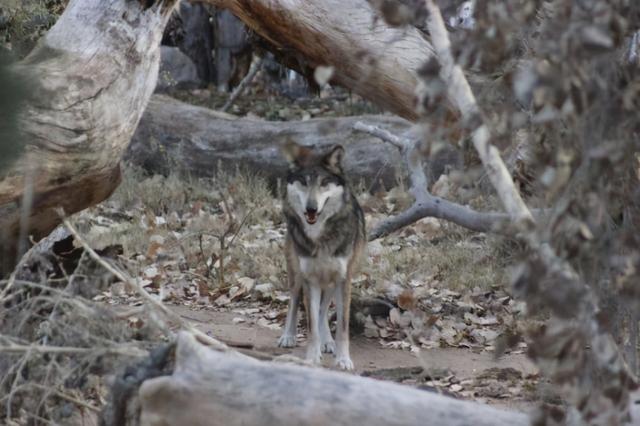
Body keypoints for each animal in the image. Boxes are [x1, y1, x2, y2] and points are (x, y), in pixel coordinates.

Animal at [278, 141, 368, 372]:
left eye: (324, 183)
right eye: (303, 182)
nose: (311, 208)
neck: (321, 236)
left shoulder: (343, 279)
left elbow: (342, 327)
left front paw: (343, 359)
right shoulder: (309, 279)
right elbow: (311, 327)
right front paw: (311, 358)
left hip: (331, 283)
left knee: (324, 309)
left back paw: (328, 342)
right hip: (297, 275)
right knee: (294, 301)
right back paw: (288, 336)